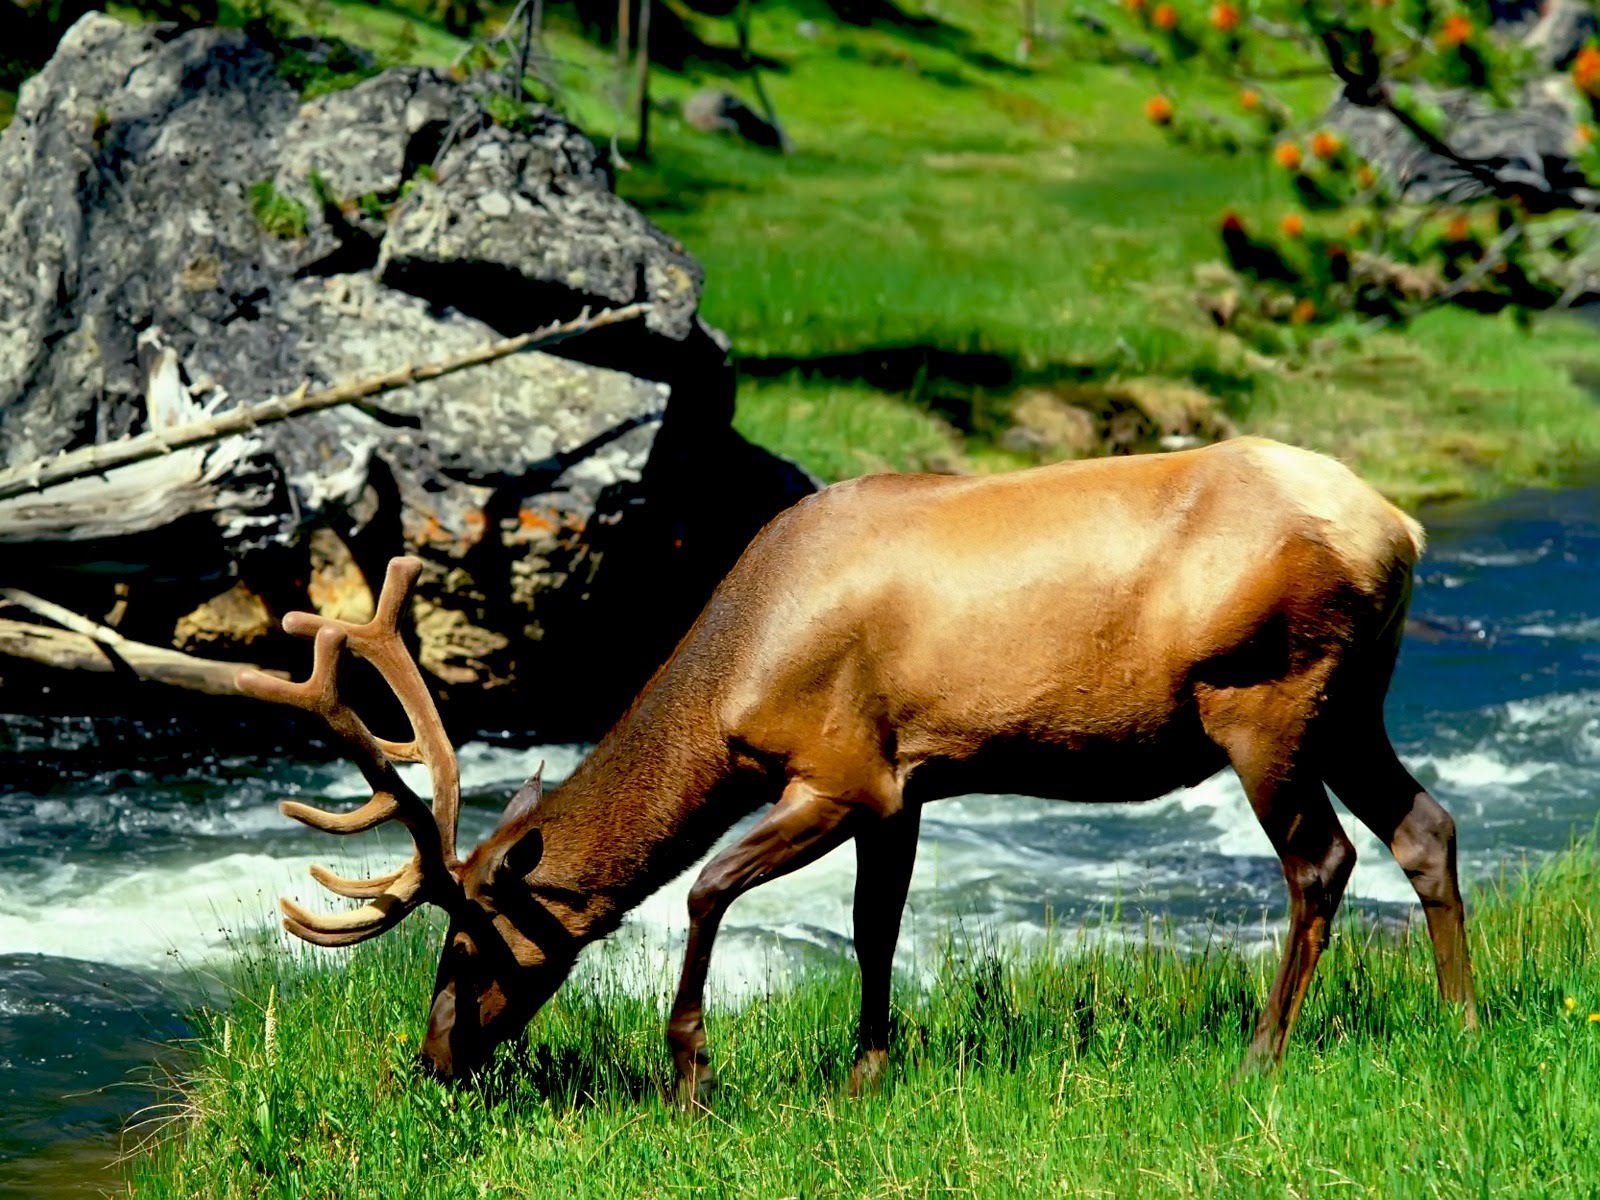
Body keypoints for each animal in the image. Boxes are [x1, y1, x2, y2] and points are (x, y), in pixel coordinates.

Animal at [237, 435, 1478, 1104]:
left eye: (468, 944)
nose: (433, 1057)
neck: (732, 678)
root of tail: (1401, 528)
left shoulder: (840, 771)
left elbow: (703, 890)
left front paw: (690, 1075)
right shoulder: (909, 781)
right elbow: (875, 926)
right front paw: (867, 1070)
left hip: (1266, 697)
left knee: (1321, 861)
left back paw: (1261, 1052)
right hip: (1350, 703)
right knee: (1425, 826)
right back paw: (1462, 1017)